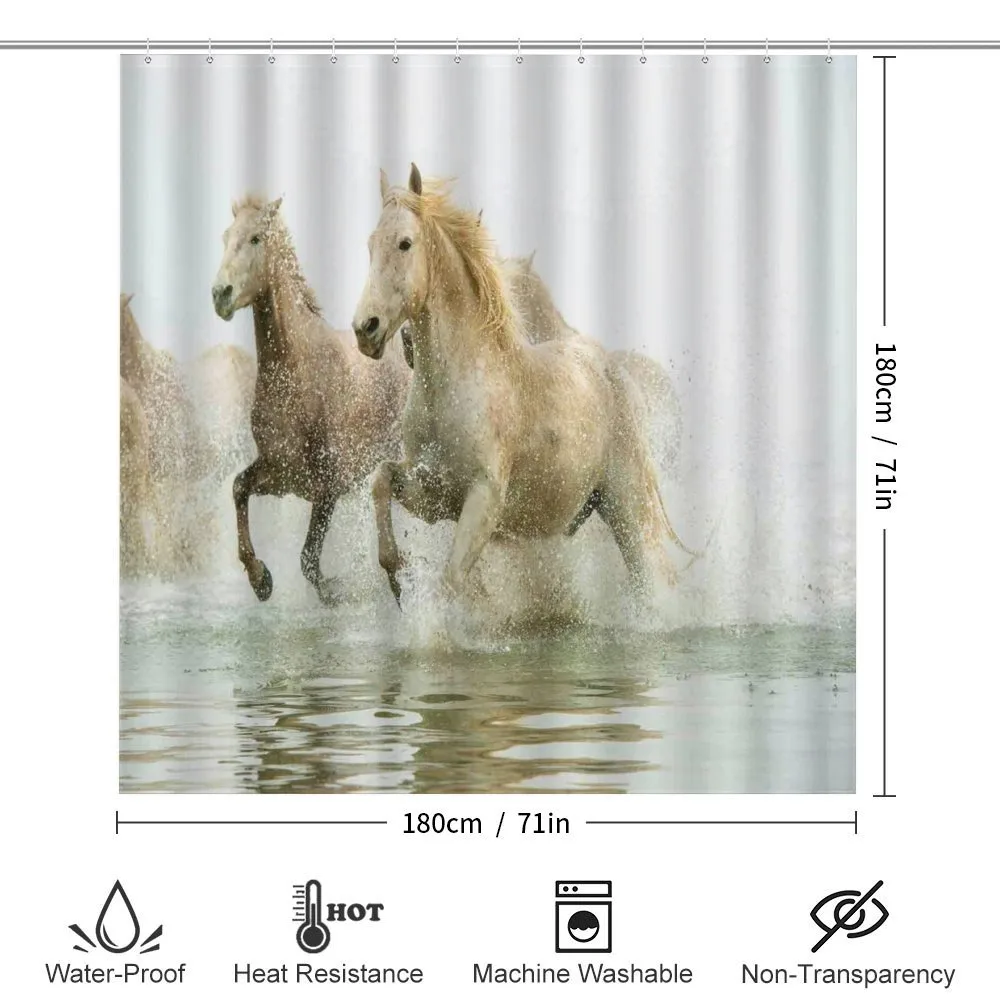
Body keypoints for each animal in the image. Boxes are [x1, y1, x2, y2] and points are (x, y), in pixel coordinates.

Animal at [212, 194, 411, 604]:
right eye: (226, 236)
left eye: (255, 238)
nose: (220, 294)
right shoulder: (281, 475)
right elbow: (239, 487)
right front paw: (261, 580)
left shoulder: (327, 487)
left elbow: (308, 559)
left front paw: (338, 594)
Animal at [352, 164, 696, 606]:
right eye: (370, 244)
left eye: (404, 243)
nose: (366, 329)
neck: (453, 387)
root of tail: (610, 369)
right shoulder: (432, 493)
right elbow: (381, 481)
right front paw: (397, 577)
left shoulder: (483, 500)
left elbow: (451, 581)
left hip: (627, 509)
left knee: (650, 578)